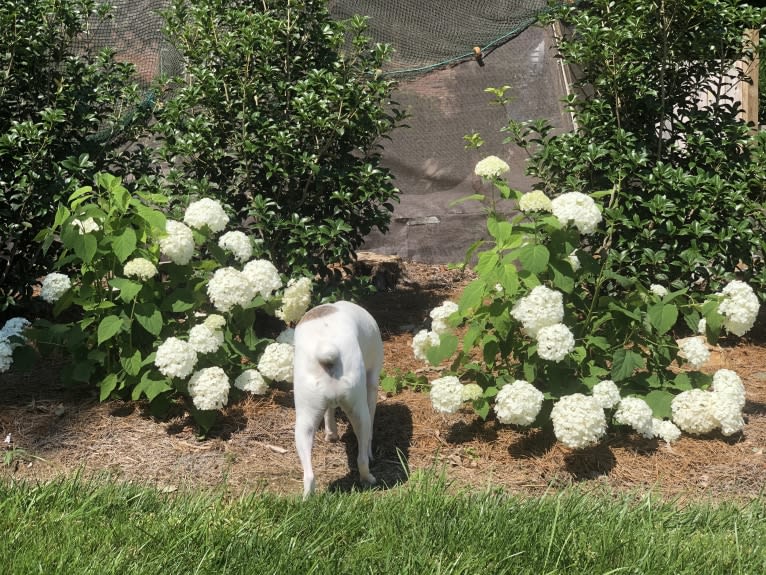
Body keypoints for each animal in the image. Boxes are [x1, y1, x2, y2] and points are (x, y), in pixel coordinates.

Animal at [292, 300, 384, 498]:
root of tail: (327, 351)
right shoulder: (372, 385)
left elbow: (329, 412)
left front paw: (331, 434)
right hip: (361, 413)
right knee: (362, 458)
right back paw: (368, 479)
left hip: (304, 423)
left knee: (309, 475)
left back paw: (307, 497)